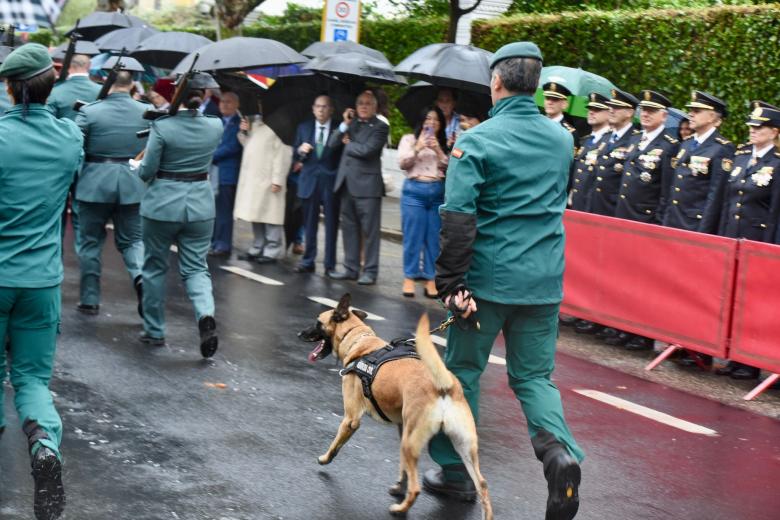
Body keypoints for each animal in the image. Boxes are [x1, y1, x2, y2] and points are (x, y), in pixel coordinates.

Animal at [298, 294, 494, 516]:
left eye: (318, 322)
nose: (299, 333)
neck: (360, 341)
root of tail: (444, 385)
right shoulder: (401, 428)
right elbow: (403, 468)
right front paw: (399, 486)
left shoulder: (350, 419)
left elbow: (335, 445)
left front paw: (324, 458)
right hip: (460, 446)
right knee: (482, 485)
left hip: (411, 443)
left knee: (416, 488)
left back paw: (399, 509)